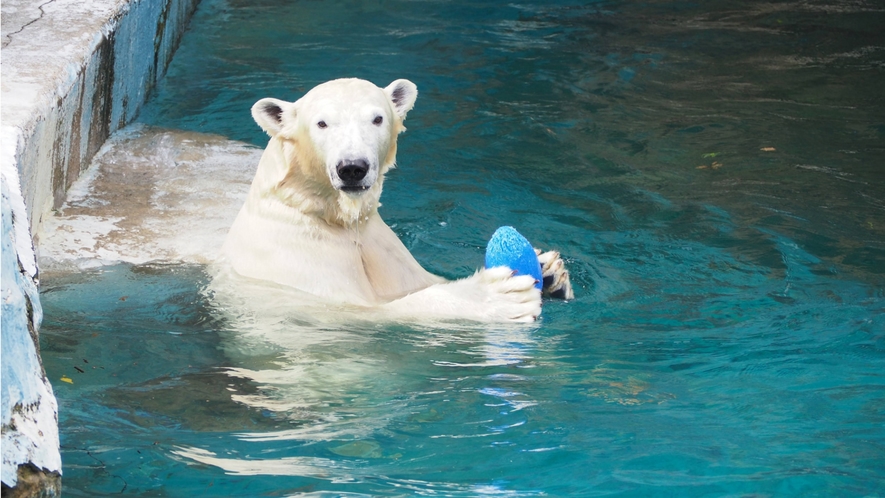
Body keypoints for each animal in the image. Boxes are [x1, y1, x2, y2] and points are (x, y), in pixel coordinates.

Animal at [221, 78, 572, 322]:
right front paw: (496, 297)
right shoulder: (294, 263)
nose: (352, 168)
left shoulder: (383, 249)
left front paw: (549, 270)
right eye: (321, 123)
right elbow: (366, 309)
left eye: (377, 119)